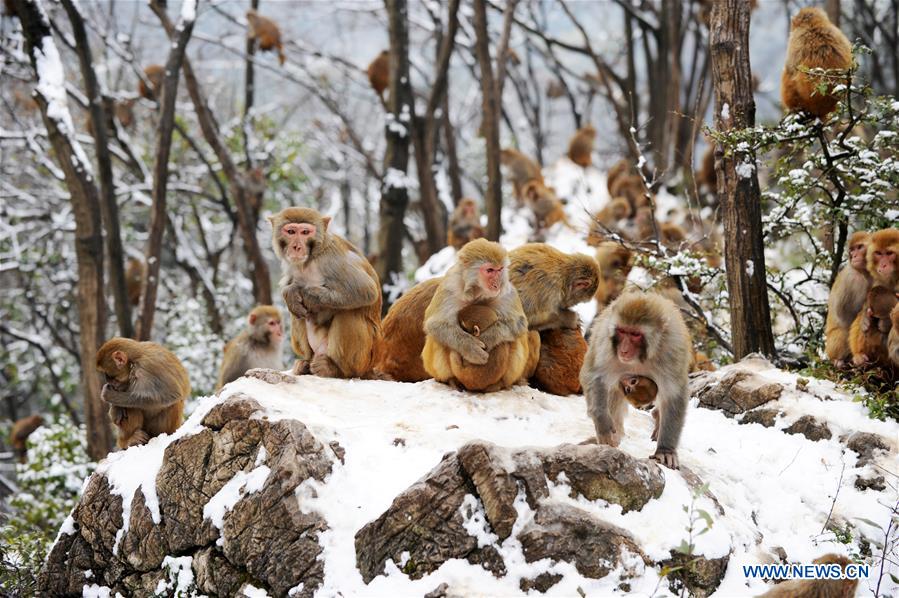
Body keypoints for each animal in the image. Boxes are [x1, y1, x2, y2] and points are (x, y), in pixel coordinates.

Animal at [268, 209, 380, 380]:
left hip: (365, 358)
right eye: (291, 231)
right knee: (297, 314)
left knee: (349, 312)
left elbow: (365, 290)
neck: (310, 259)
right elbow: (290, 286)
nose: (296, 247)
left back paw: (336, 369)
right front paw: (290, 293)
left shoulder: (332, 260)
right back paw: (305, 363)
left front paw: (309, 296)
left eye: (305, 232)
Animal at [420, 239, 528, 394]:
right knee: (438, 339)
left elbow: (519, 323)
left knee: (513, 339)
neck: (477, 292)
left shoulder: (506, 291)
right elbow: (435, 324)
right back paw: (451, 381)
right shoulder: (450, 286)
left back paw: (499, 384)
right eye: (490, 270)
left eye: (500, 269)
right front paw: (470, 348)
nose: (497, 283)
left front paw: (488, 337)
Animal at [580, 292, 692, 472]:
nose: (624, 350)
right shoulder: (606, 341)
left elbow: (674, 395)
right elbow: (596, 375)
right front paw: (603, 424)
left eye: (635, 335)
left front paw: (666, 450)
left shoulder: (672, 350)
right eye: (622, 331)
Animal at [824, 233, 872, 366]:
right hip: (830, 346)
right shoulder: (850, 279)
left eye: (859, 247)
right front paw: (864, 318)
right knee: (843, 332)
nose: (854, 256)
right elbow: (842, 313)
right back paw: (839, 360)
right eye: (852, 250)